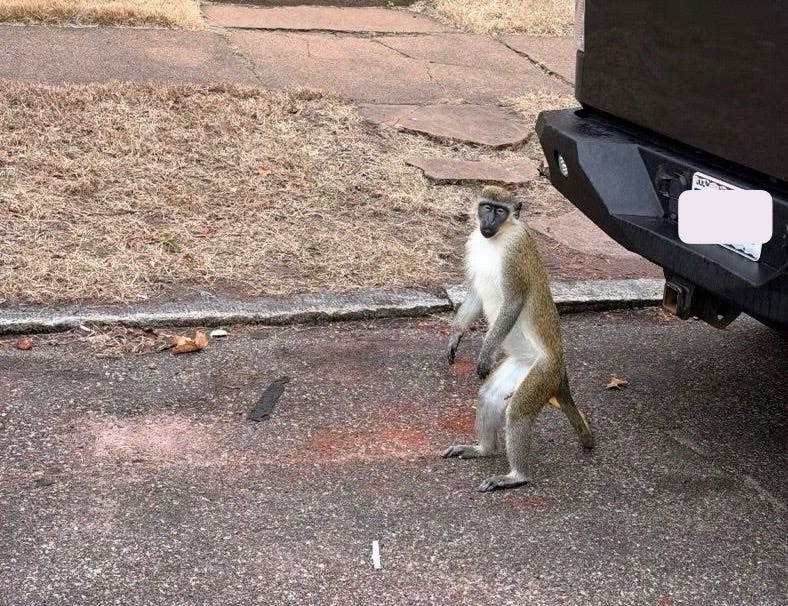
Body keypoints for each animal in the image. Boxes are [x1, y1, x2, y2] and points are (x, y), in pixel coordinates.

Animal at [443, 185, 594, 492]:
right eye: (486, 207)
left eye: (500, 210)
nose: (488, 222)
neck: (497, 238)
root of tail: (560, 367)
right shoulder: (473, 242)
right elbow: (475, 293)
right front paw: (456, 334)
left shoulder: (516, 251)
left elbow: (513, 302)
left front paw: (486, 350)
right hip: (522, 366)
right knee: (489, 396)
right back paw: (484, 450)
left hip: (543, 373)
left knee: (518, 412)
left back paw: (517, 476)